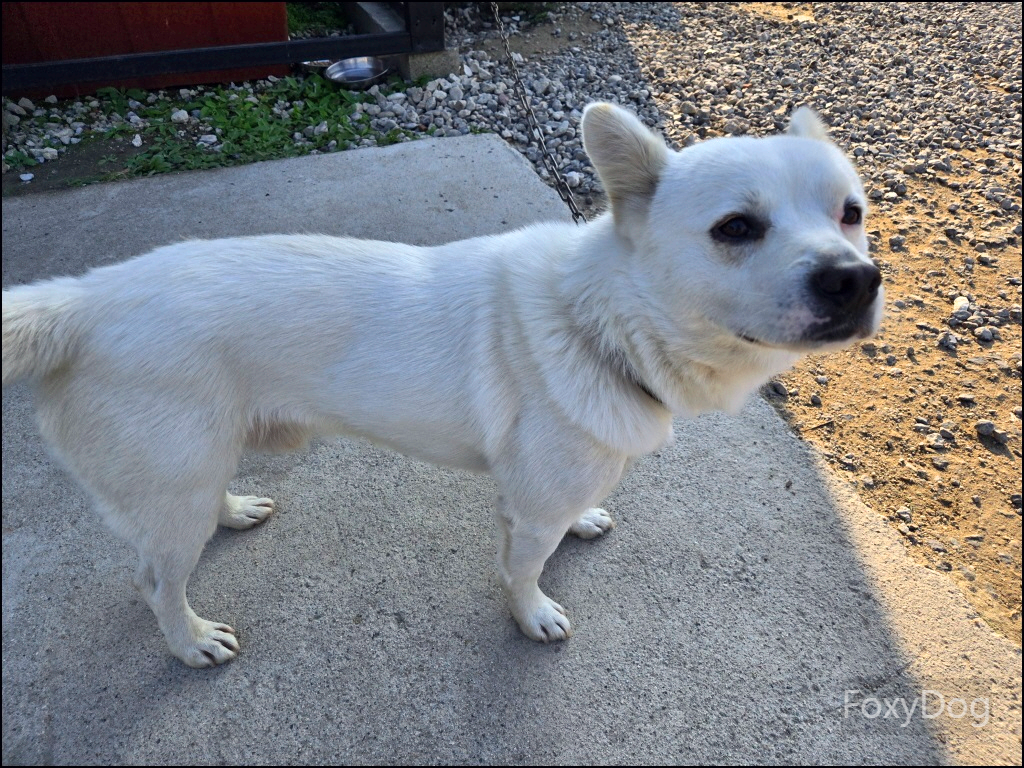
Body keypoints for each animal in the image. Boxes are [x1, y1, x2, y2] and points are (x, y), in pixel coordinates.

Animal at [2, 102, 882, 667]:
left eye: (852, 213)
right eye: (736, 228)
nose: (857, 280)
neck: (599, 321)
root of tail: (83, 298)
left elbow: (565, 527)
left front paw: (584, 524)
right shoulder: (527, 511)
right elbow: (523, 571)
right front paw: (532, 616)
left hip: (194, 467)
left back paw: (233, 510)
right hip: (171, 484)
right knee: (156, 579)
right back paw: (189, 642)